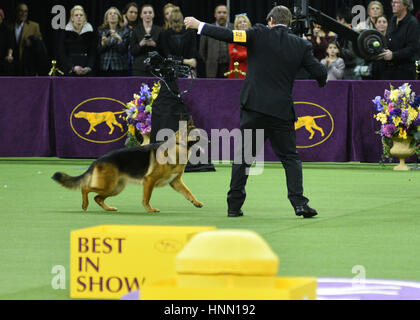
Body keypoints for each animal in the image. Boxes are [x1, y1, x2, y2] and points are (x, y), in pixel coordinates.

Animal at [52, 120, 203, 212]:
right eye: (197, 133)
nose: (206, 138)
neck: (178, 147)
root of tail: (98, 160)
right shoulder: (149, 181)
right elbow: (147, 197)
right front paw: (149, 209)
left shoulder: (176, 182)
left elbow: (188, 192)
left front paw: (196, 202)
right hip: (108, 185)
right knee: (85, 188)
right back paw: (85, 204)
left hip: (115, 188)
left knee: (97, 197)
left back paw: (108, 208)